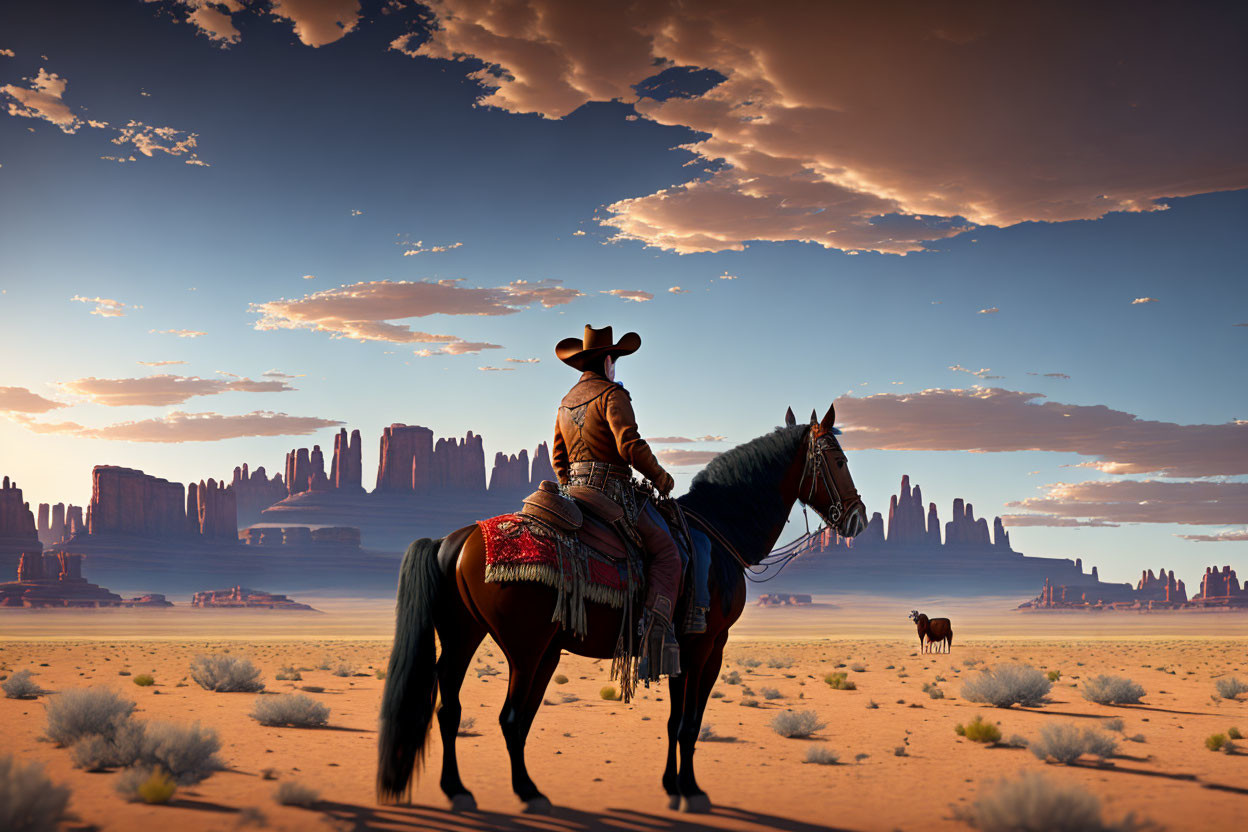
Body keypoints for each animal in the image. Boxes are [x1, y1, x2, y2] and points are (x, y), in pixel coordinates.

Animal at [376, 406, 868, 818]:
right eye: (839, 460)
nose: (859, 518)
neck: (720, 528)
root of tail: (454, 540)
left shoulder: (677, 647)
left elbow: (673, 721)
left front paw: (672, 786)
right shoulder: (705, 645)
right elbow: (689, 723)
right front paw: (693, 793)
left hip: (468, 637)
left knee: (452, 709)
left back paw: (458, 790)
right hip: (526, 649)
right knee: (510, 717)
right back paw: (529, 794)